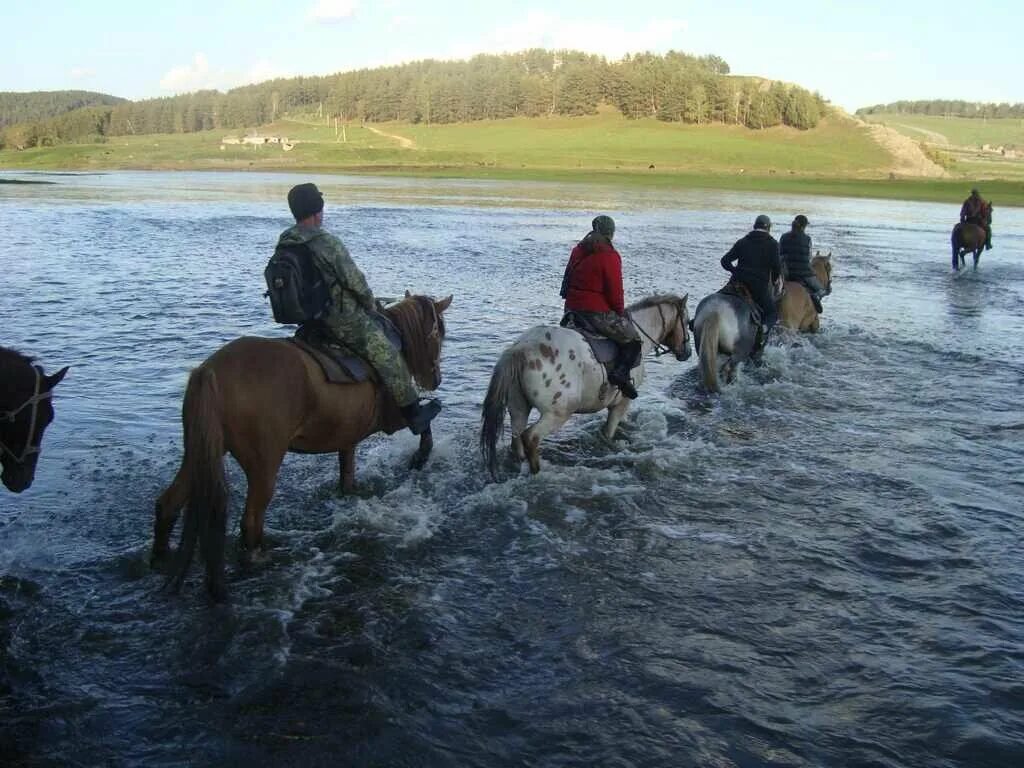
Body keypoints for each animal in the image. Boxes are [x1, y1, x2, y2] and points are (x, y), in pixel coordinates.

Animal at [154, 294, 452, 602]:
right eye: (439, 334)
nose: (436, 379)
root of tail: (209, 370)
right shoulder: (393, 418)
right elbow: (424, 422)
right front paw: (420, 456)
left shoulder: (348, 437)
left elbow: (347, 475)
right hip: (264, 466)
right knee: (251, 521)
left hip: (200, 453)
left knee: (168, 503)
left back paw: (162, 560)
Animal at [477, 292, 688, 479]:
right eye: (687, 322)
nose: (687, 353)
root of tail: (520, 349)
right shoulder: (622, 403)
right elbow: (608, 432)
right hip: (558, 413)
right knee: (531, 437)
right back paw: (537, 472)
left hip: (518, 407)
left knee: (517, 439)